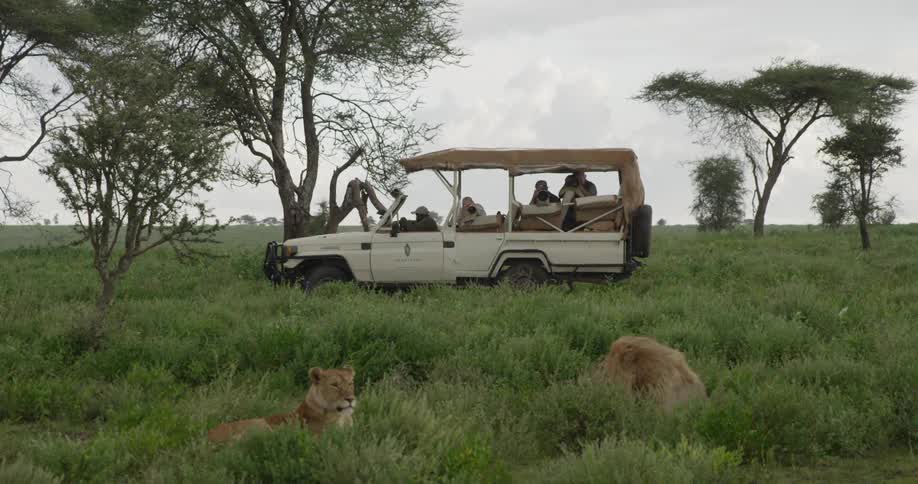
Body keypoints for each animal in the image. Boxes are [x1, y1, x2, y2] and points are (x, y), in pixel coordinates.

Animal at [207, 366, 357, 444]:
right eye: (334, 385)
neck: (342, 417)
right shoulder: (319, 438)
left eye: (350, 383)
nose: (350, 399)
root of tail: (207, 437)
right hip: (261, 424)